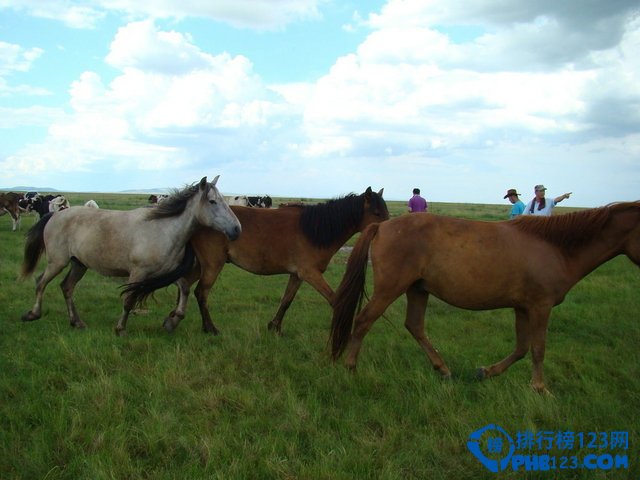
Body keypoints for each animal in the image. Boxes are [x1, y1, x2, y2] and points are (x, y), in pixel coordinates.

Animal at [22, 174, 241, 336]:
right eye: (212, 201)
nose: (237, 229)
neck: (163, 229)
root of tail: (56, 214)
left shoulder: (166, 272)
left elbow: (185, 289)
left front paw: (173, 320)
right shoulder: (138, 273)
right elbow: (128, 300)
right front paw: (120, 329)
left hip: (79, 264)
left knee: (67, 287)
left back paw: (77, 322)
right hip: (58, 262)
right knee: (41, 282)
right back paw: (33, 314)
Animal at [162, 187, 388, 334]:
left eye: (385, 212)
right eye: (377, 213)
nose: (390, 233)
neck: (315, 230)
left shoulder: (297, 275)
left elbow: (286, 300)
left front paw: (274, 326)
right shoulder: (310, 274)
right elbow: (335, 300)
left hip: (201, 265)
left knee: (184, 284)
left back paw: (174, 317)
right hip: (212, 265)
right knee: (201, 292)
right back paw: (209, 328)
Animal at [330, 202, 640, 394]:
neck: (554, 247)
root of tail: (382, 227)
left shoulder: (523, 308)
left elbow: (522, 348)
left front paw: (486, 372)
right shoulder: (540, 306)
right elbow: (538, 348)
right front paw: (540, 389)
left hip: (418, 289)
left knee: (415, 326)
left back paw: (443, 369)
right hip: (390, 289)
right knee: (364, 321)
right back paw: (350, 368)